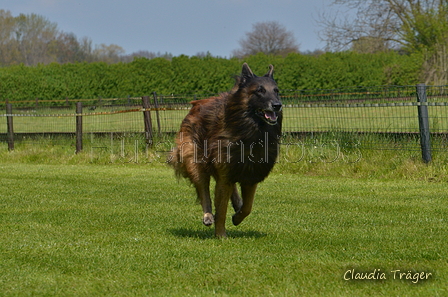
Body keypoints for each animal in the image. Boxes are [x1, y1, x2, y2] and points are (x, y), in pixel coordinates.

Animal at [170, 63, 282, 237]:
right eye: (260, 90)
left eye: (276, 91)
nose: (277, 105)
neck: (250, 131)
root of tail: (196, 104)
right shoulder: (225, 172)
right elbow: (221, 209)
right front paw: (221, 235)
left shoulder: (251, 173)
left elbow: (248, 207)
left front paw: (237, 216)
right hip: (195, 160)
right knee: (204, 190)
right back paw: (208, 215)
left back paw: (236, 204)